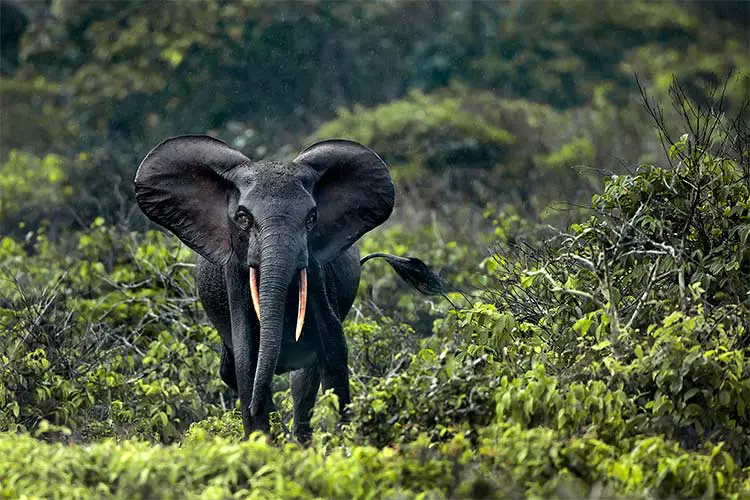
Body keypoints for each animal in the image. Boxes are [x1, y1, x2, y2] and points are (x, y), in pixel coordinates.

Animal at [134, 135, 446, 440]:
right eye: (243, 218)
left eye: (311, 218)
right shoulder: (235, 275)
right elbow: (247, 359)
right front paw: (261, 441)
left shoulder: (318, 273)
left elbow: (333, 348)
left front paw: (344, 439)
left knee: (303, 380)